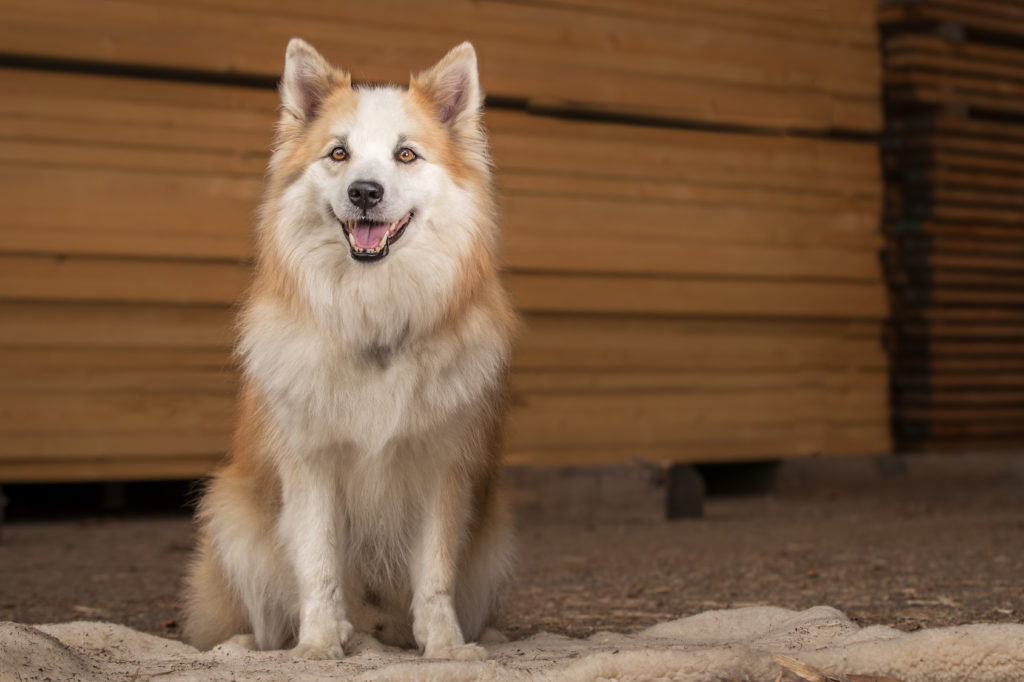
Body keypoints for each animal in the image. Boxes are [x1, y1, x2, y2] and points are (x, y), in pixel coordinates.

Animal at [182, 38, 520, 659]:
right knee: (260, 618)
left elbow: (435, 574)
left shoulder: (440, 469)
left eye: (406, 155)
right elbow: (318, 564)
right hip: (229, 514)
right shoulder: (311, 465)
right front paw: (317, 644)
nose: (364, 192)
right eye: (338, 154)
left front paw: (445, 645)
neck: (374, 315)